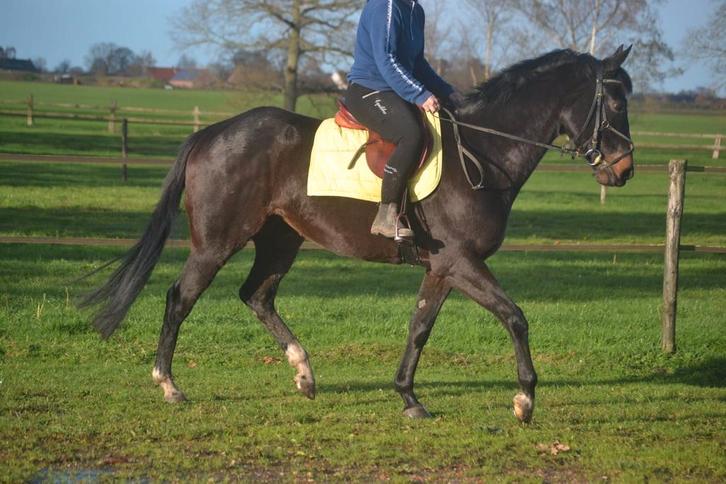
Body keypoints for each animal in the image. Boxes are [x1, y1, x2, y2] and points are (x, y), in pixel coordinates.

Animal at [82, 46, 635, 423]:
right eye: (612, 101)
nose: (624, 170)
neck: (480, 151)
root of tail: (212, 133)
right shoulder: (461, 261)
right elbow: (515, 317)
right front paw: (524, 398)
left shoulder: (444, 267)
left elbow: (420, 327)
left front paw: (409, 397)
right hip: (217, 243)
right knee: (180, 298)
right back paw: (170, 385)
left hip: (280, 240)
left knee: (256, 295)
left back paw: (304, 373)